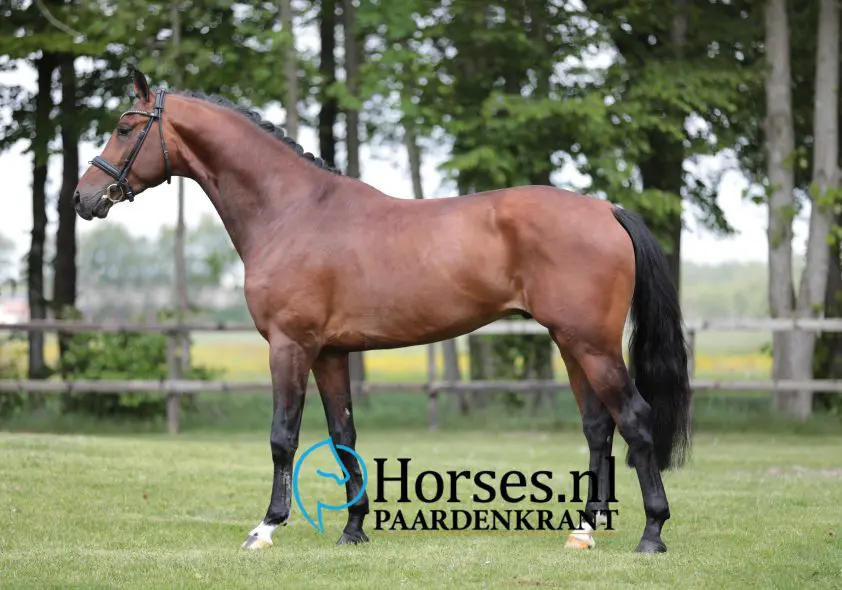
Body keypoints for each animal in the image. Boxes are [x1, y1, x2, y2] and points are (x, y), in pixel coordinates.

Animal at [74, 70, 692, 554]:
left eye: (125, 127)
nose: (83, 198)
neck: (292, 211)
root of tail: (605, 210)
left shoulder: (289, 346)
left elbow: (282, 435)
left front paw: (266, 528)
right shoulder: (329, 353)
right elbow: (343, 433)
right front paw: (353, 530)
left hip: (592, 344)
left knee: (634, 419)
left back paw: (652, 534)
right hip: (570, 343)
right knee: (598, 427)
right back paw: (584, 530)